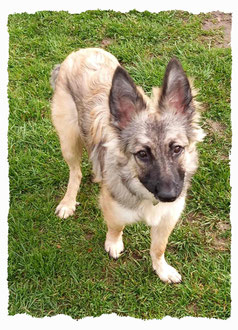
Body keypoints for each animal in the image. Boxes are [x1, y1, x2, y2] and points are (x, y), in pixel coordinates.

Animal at [50, 48, 205, 284]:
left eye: (177, 148)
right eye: (142, 154)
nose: (169, 195)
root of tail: (81, 52)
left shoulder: (168, 217)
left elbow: (158, 248)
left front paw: (162, 269)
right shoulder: (114, 208)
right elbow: (116, 226)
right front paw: (113, 243)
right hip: (68, 140)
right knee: (75, 172)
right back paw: (68, 202)